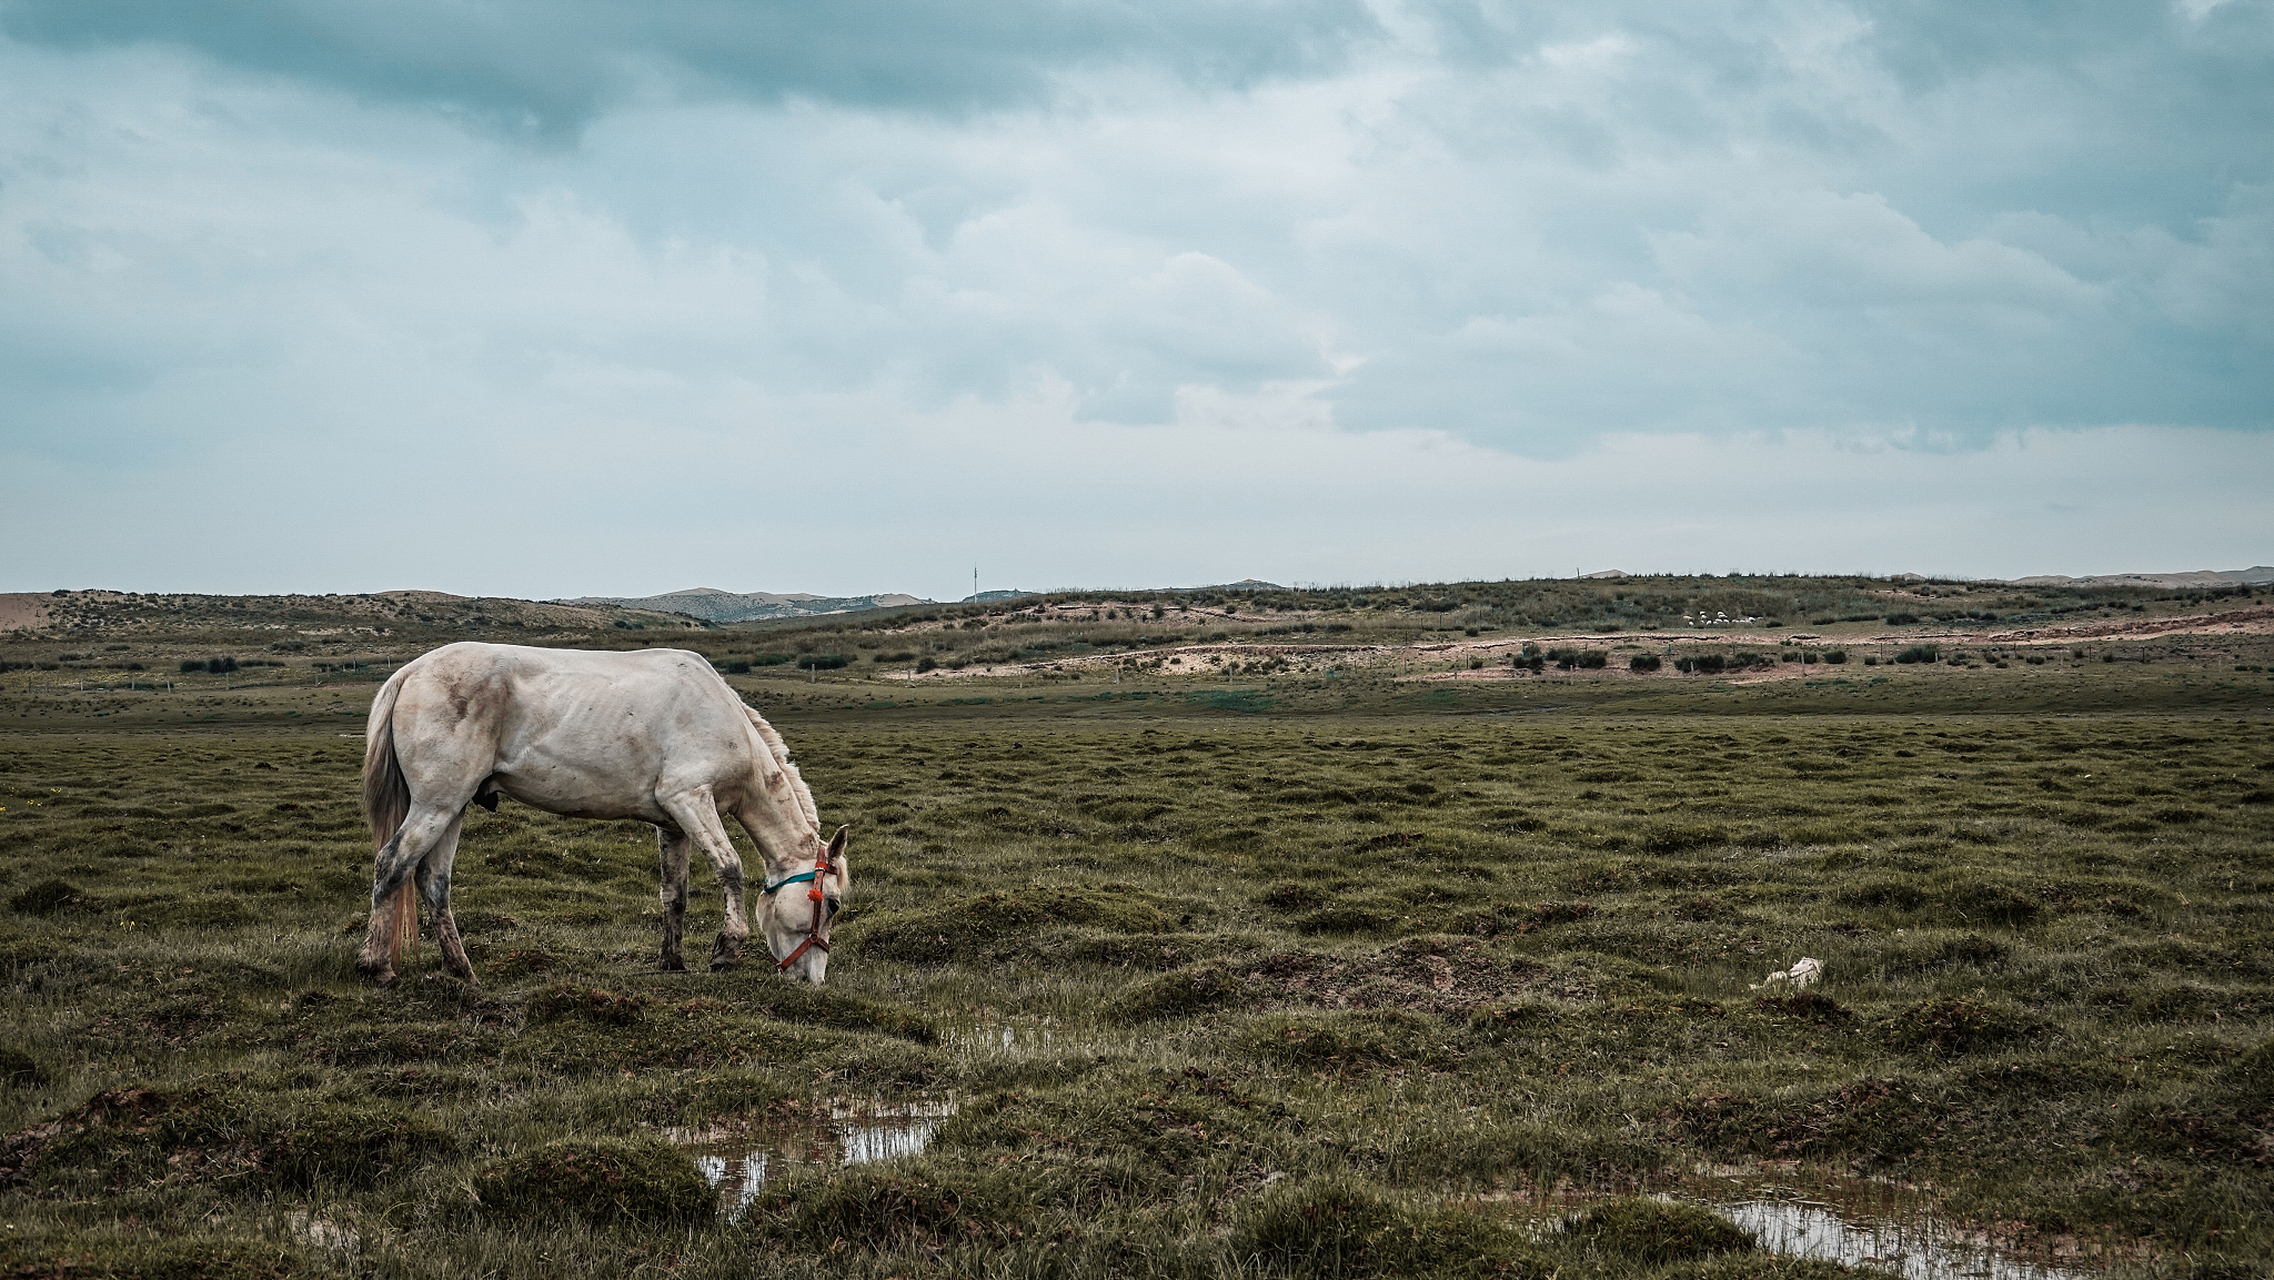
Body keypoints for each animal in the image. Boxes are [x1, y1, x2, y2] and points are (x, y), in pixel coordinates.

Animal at [359, 645, 850, 986]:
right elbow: (729, 869)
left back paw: (463, 972)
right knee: (392, 866)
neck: (724, 720)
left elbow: (675, 894)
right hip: (436, 805)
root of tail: (409, 673)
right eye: (832, 904)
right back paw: (377, 967)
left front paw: (672, 961)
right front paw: (725, 951)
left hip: (453, 807)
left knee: (433, 882)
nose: (813, 981)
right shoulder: (690, 799)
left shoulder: (673, 823)